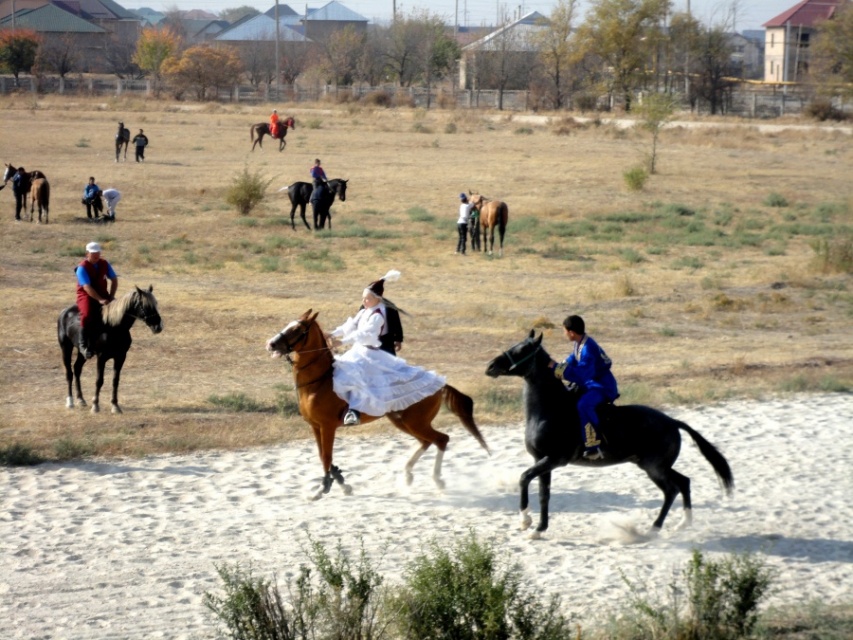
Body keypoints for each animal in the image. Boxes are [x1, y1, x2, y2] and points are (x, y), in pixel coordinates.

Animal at [57, 284, 163, 416]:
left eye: (156, 303)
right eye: (145, 306)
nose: (158, 326)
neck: (113, 327)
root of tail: (64, 312)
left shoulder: (120, 357)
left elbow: (115, 380)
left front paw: (115, 405)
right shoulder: (101, 357)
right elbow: (99, 381)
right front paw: (95, 405)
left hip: (83, 354)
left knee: (77, 369)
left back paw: (81, 399)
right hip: (66, 348)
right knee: (69, 373)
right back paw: (70, 402)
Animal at [262, 310, 490, 500]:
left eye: (296, 330)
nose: (271, 344)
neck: (320, 381)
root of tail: (439, 383)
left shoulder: (327, 427)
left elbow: (326, 456)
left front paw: (323, 488)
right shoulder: (315, 427)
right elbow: (323, 456)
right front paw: (343, 484)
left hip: (416, 422)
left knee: (441, 439)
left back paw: (437, 480)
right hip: (402, 422)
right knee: (427, 442)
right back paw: (408, 475)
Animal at [486, 332, 732, 536]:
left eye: (521, 350)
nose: (490, 366)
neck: (549, 410)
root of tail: (672, 422)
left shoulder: (553, 459)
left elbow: (524, 478)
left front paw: (525, 521)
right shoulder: (542, 461)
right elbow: (543, 494)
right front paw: (538, 529)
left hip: (655, 468)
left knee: (671, 490)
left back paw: (654, 528)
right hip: (655, 465)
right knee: (684, 482)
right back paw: (683, 523)